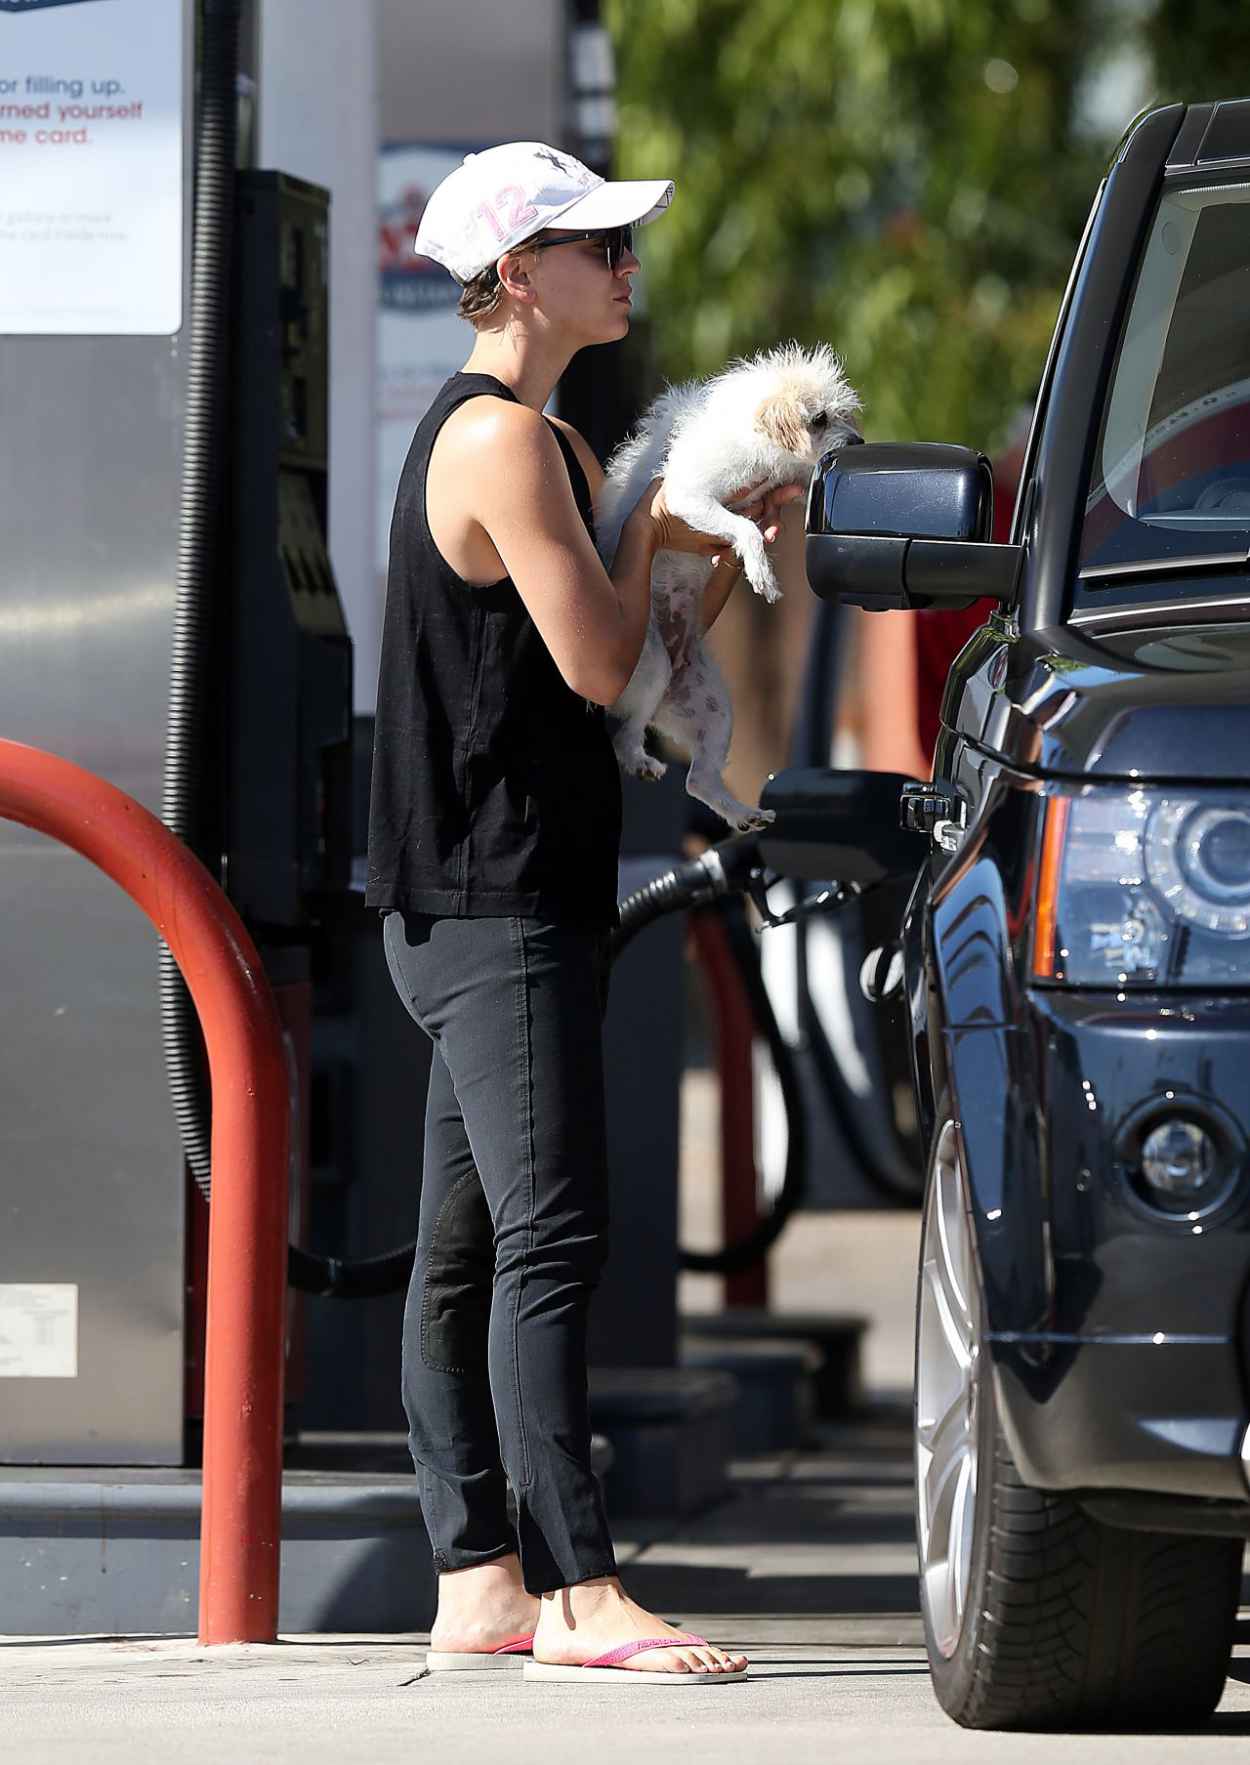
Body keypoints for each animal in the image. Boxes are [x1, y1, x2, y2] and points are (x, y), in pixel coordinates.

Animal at [596, 347, 858, 836]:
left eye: (845, 415)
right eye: (819, 419)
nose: (857, 442)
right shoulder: (686, 497)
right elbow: (744, 528)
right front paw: (762, 573)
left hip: (714, 708)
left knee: (697, 780)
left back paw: (742, 814)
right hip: (652, 665)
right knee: (624, 737)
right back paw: (641, 762)